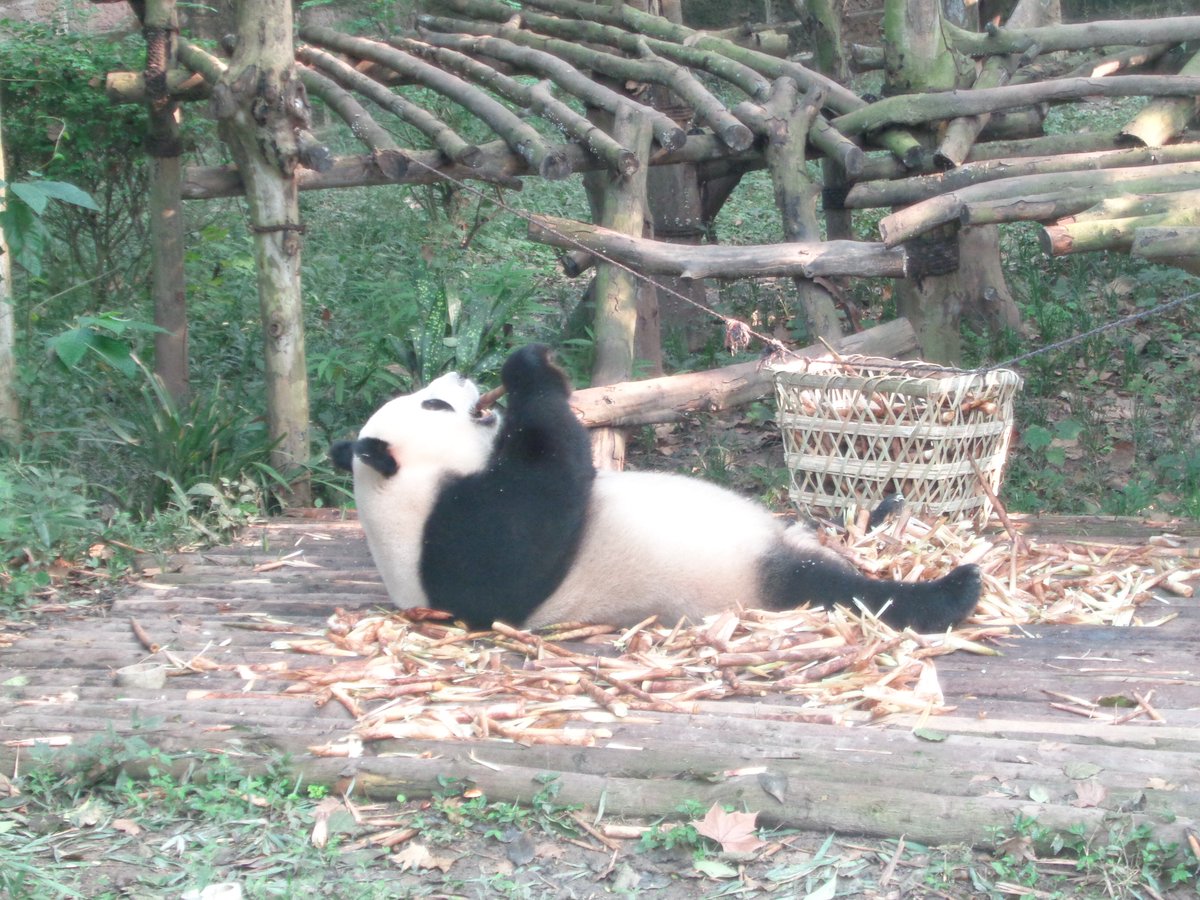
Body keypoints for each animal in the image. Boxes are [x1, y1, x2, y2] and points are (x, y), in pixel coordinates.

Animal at [330, 344, 981, 633]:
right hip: (743, 577)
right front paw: (527, 370)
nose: (462, 377)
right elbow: (538, 510)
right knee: (838, 590)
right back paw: (953, 590)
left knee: (830, 532)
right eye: (434, 405)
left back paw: (886, 510)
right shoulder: (451, 541)